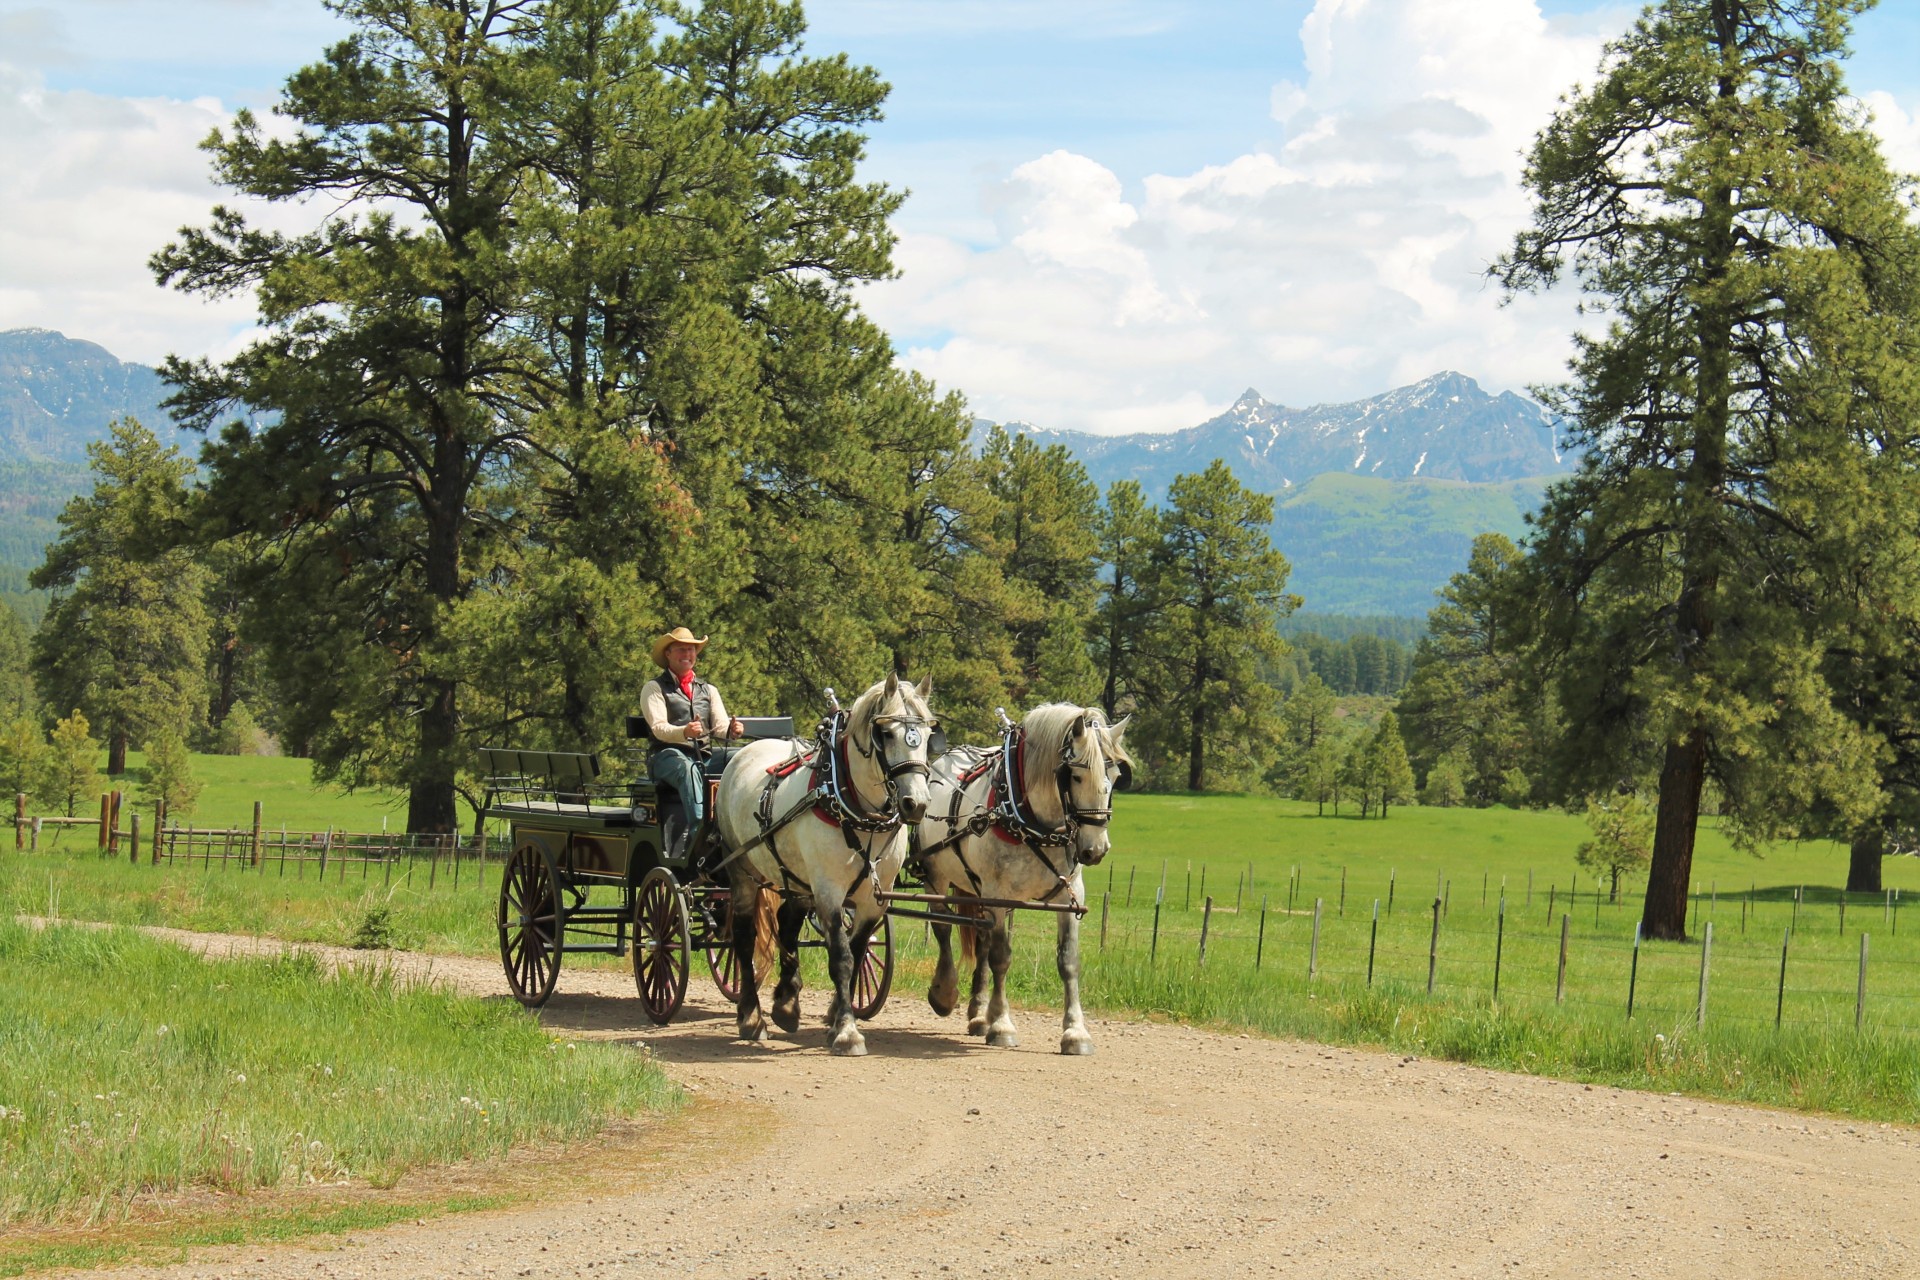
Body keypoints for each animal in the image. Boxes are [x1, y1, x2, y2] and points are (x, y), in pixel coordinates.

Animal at [712, 673, 935, 1056]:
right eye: (886, 733)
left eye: (926, 734)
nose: (915, 803)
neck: (858, 811)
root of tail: (743, 752)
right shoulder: (829, 892)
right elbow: (841, 958)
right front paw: (846, 1031)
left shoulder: (874, 899)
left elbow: (858, 952)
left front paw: (834, 1018)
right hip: (742, 872)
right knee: (742, 936)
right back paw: (752, 1017)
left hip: (795, 877)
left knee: (787, 925)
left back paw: (786, 1004)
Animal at [916, 703, 1131, 1054]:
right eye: (1075, 775)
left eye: (1114, 777)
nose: (1095, 850)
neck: (1035, 823)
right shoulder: (997, 893)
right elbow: (1001, 958)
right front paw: (1002, 1025)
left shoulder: (1069, 894)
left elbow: (1068, 961)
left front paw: (1075, 1032)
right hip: (936, 875)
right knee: (942, 927)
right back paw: (945, 993)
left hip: (978, 890)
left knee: (981, 940)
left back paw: (979, 1014)